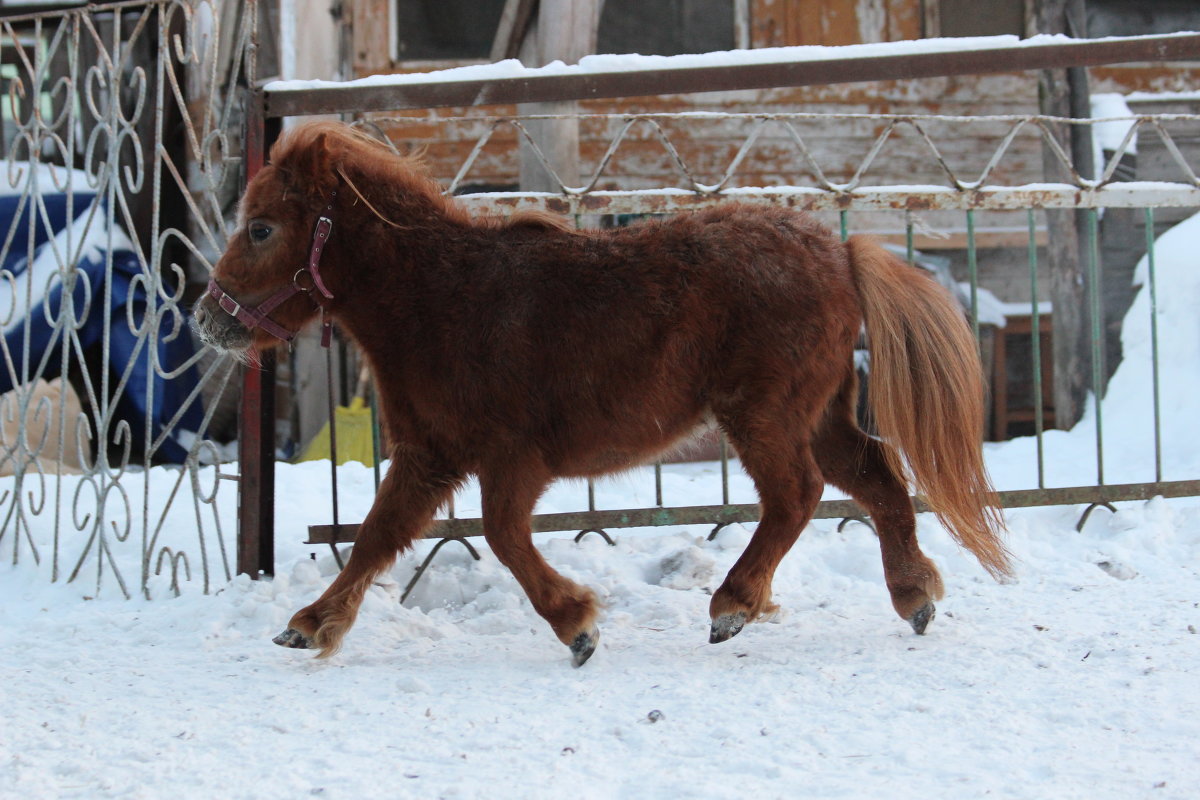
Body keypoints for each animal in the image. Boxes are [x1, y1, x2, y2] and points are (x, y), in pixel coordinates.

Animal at [196, 122, 1012, 666]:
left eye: (261, 228)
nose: (208, 320)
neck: (442, 298)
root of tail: (842, 251)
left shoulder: (509, 459)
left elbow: (502, 536)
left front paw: (578, 625)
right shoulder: (429, 457)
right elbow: (375, 535)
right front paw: (312, 624)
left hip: (763, 414)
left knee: (797, 495)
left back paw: (732, 607)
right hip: (816, 414)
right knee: (876, 476)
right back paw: (913, 596)